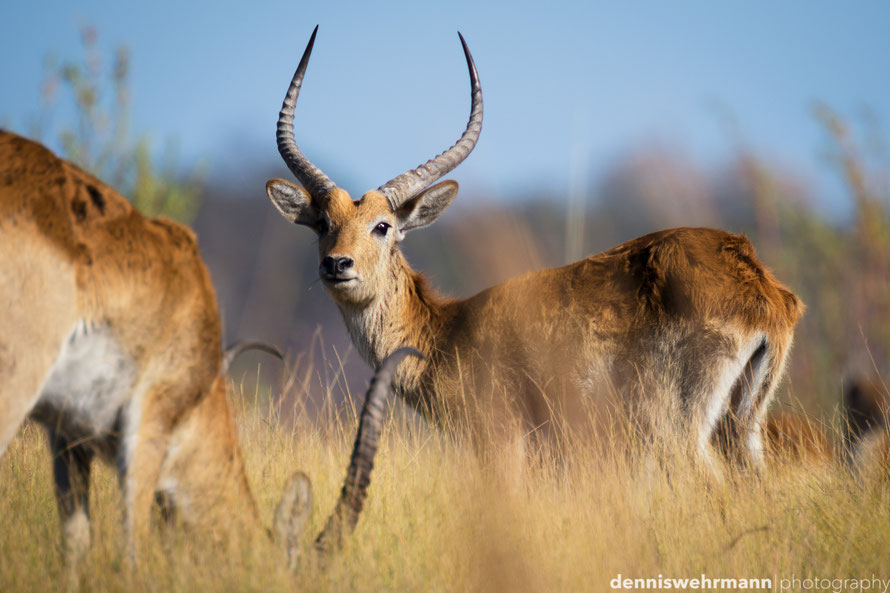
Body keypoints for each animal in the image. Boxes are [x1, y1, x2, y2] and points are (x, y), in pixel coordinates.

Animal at [264, 26, 804, 472]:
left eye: (382, 226)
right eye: (324, 223)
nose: (338, 264)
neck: (445, 333)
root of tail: (760, 286)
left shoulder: (502, 446)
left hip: (676, 433)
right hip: (743, 429)